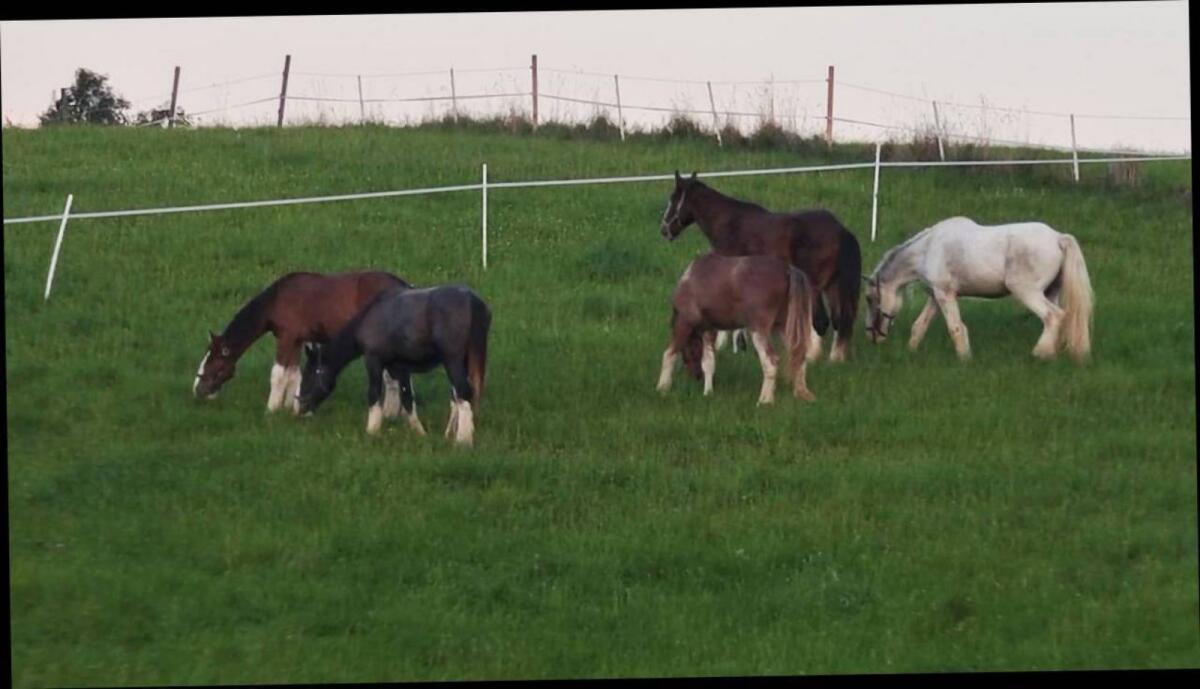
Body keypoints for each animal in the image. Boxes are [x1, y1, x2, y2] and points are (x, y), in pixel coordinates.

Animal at [192, 270, 410, 414]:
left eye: (213, 364)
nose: (197, 390)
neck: (276, 300)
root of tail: (405, 287)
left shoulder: (286, 338)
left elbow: (278, 374)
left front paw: (271, 408)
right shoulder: (298, 340)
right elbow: (293, 374)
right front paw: (290, 405)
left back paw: (389, 413)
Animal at [297, 283, 491, 446]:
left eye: (309, 374)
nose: (300, 411)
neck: (372, 315)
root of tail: (472, 301)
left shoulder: (373, 360)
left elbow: (374, 394)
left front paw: (372, 431)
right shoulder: (399, 366)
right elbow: (407, 398)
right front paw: (418, 432)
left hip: (453, 361)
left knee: (463, 393)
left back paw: (462, 440)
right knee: (458, 396)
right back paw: (451, 433)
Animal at [657, 252, 817, 405]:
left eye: (688, 354)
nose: (696, 377)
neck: (690, 279)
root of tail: (788, 270)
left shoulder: (684, 323)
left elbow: (669, 354)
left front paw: (662, 387)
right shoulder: (709, 329)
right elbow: (708, 361)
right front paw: (708, 393)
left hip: (759, 330)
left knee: (771, 362)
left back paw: (765, 401)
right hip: (784, 328)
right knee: (799, 355)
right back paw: (802, 393)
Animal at [660, 170, 863, 363]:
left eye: (673, 199)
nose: (664, 230)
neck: (728, 222)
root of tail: (841, 230)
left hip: (815, 286)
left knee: (821, 321)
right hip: (833, 286)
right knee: (839, 321)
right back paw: (834, 358)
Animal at [864, 216, 1094, 362]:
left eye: (869, 299)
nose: (872, 337)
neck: (927, 249)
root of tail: (1058, 238)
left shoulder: (945, 295)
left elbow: (956, 328)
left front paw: (965, 359)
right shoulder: (936, 297)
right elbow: (919, 326)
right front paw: (911, 351)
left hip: (1027, 292)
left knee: (1052, 316)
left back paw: (1039, 353)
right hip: (1050, 292)